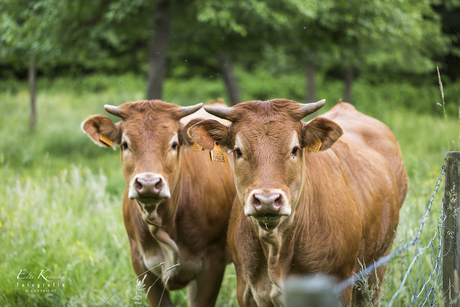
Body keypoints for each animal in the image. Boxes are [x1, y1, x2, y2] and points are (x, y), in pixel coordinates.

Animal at [189, 100, 408, 306]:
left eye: (295, 149)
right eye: (238, 151)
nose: (267, 200)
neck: (275, 251)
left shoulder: (339, 287)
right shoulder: (246, 290)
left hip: (378, 265)